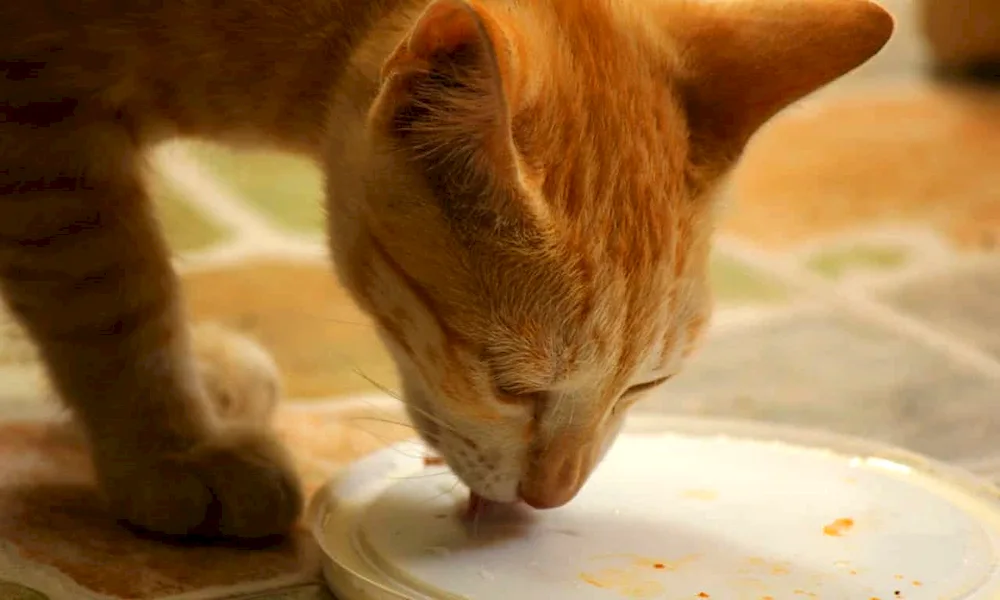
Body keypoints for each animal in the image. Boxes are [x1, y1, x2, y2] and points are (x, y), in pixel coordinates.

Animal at [0, 0, 892, 540]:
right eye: (510, 385)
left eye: (647, 385)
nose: (552, 497)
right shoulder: (43, 125)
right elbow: (116, 295)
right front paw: (175, 451)